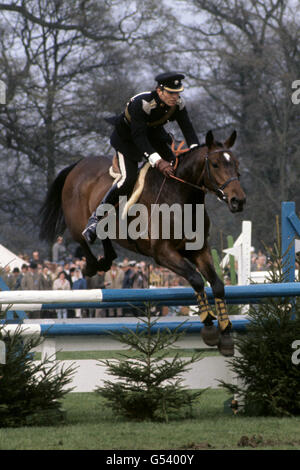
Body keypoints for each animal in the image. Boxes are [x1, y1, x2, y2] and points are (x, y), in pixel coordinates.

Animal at [39, 130, 246, 354]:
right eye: (215, 164)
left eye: (236, 163)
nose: (239, 201)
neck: (181, 196)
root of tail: (78, 165)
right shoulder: (163, 253)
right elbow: (196, 279)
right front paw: (209, 327)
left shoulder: (199, 250)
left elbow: (217, 285)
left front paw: (226, 333)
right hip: (76, 223)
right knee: (84, 239)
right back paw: (92, 265)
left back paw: (105, 260)